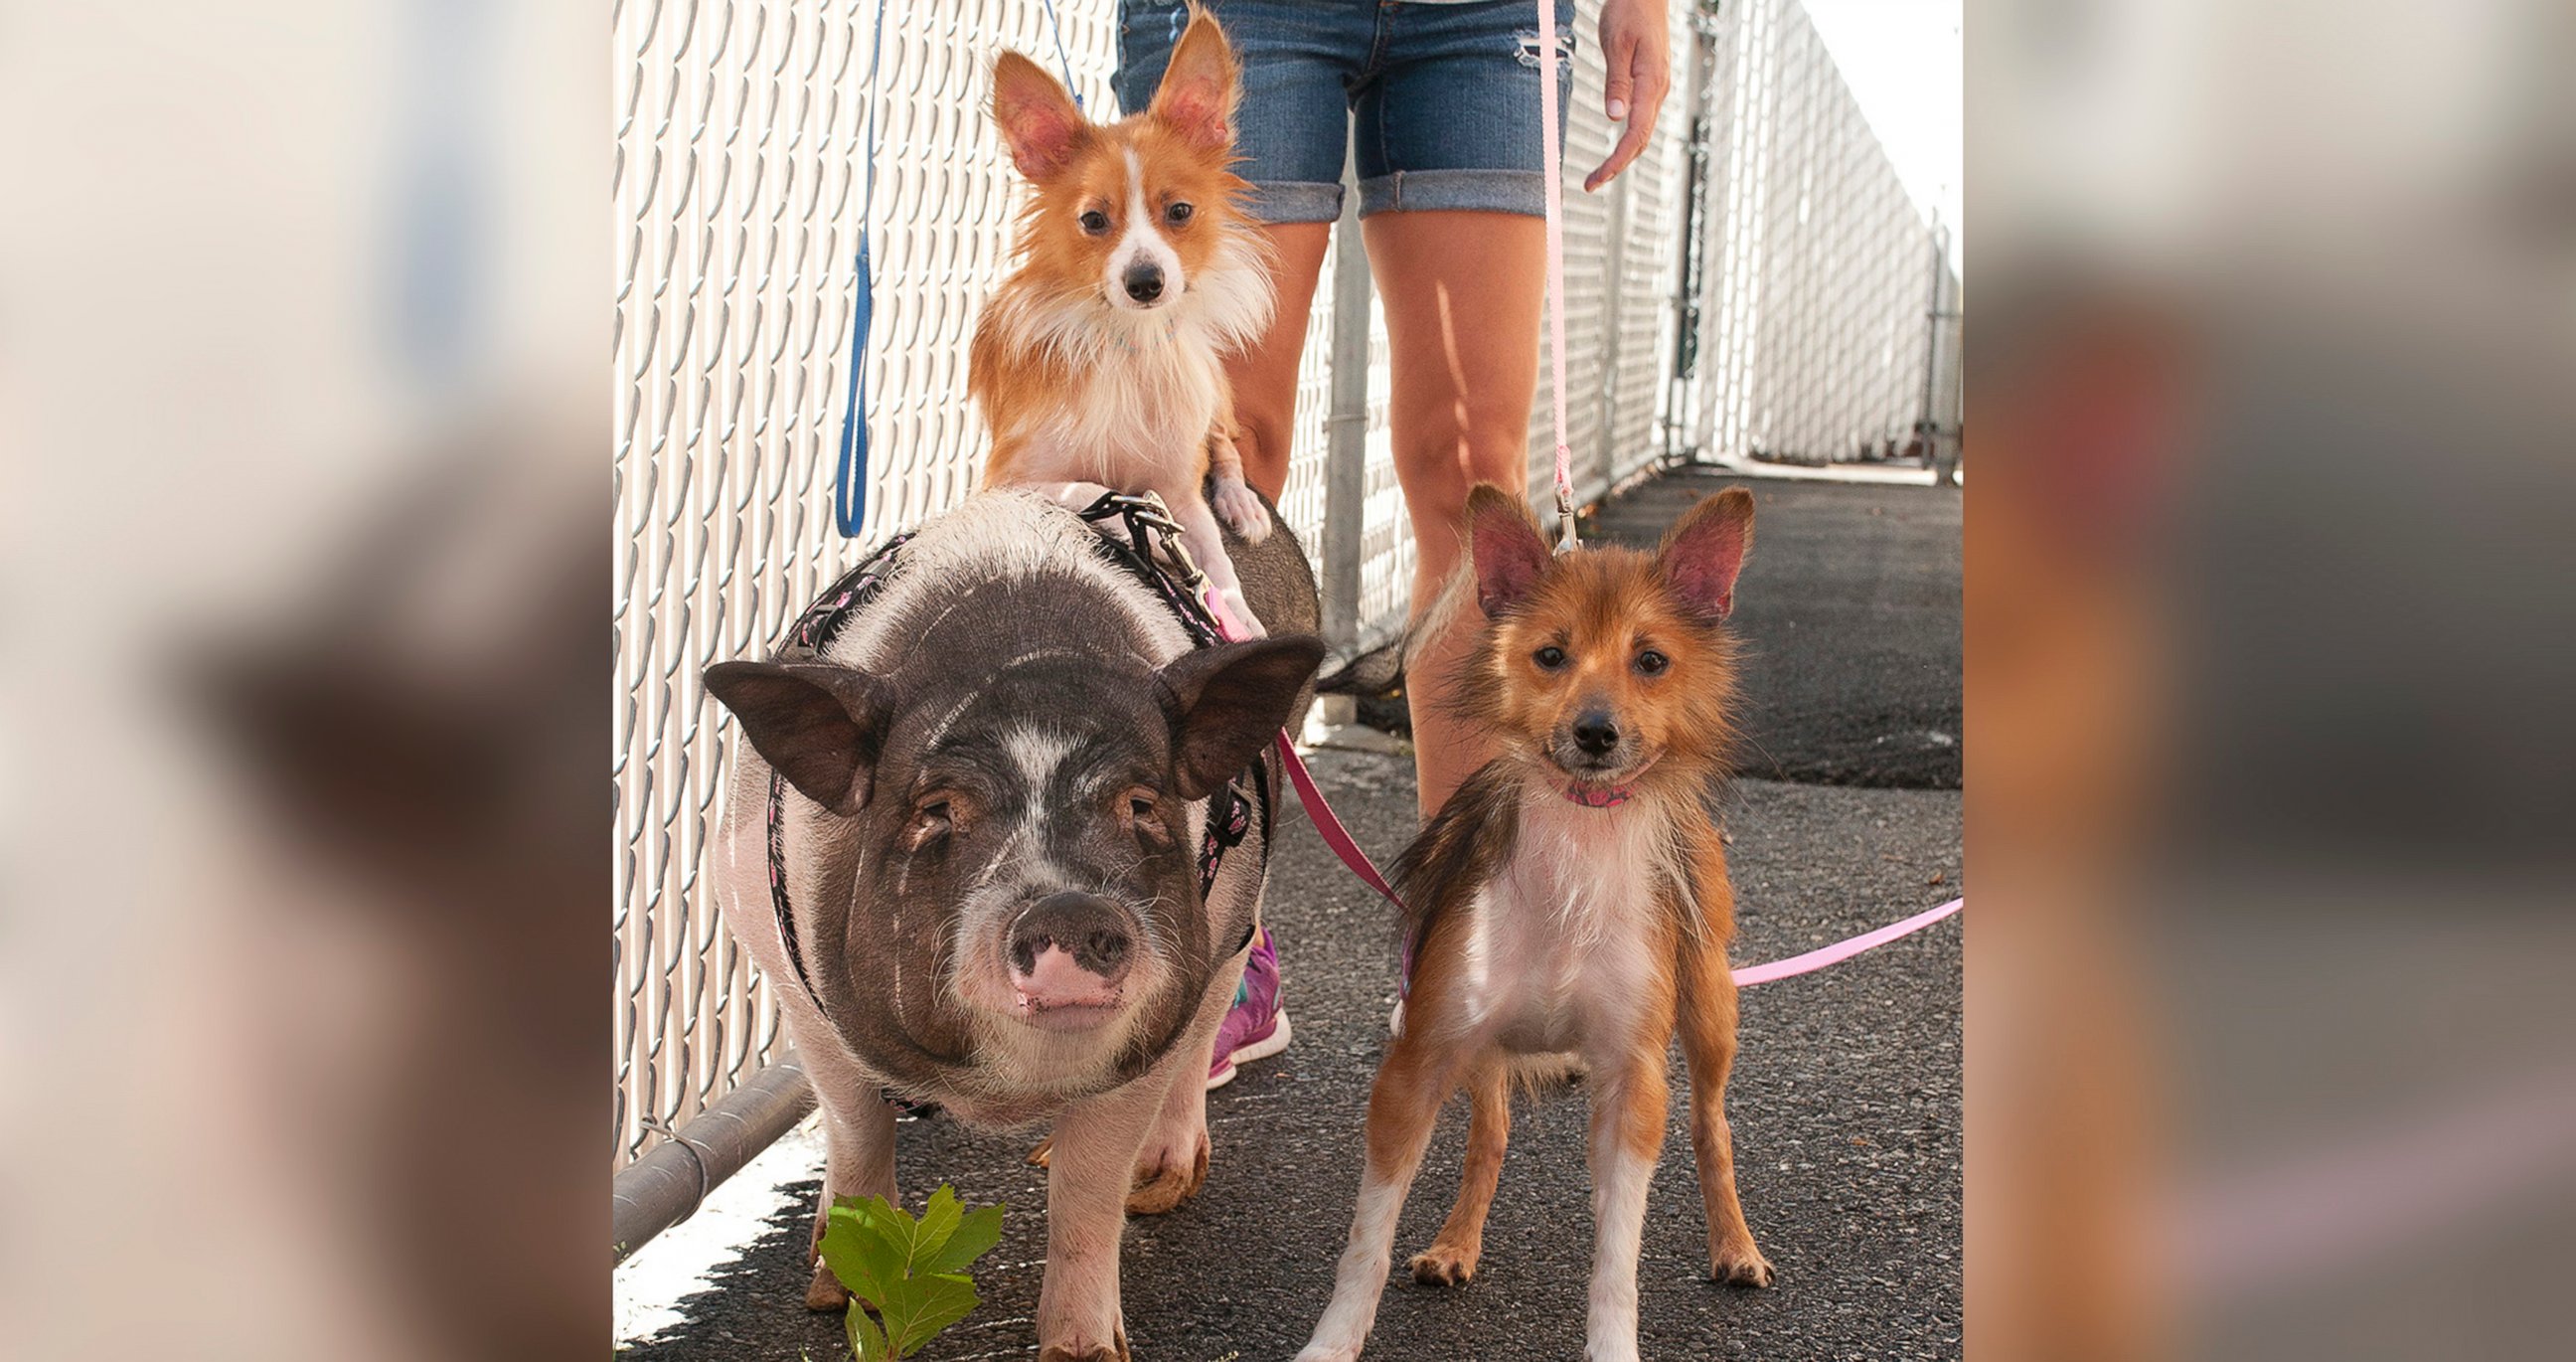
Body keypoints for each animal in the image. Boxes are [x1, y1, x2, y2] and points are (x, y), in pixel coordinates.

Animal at [968, 10, 1277, 638]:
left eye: (1180, 212)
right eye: (1092, 220)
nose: (1145, 282)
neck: (1128, 342)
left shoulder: (1182, 494)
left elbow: (1216, 564)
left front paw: (1238, 617)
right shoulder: (1004, 481)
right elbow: (1094, 489)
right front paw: (1124, 523)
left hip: (1209, 383)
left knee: (1224, 441)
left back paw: (1241, 501)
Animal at [1308, 486, 1772, 1359]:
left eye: (1650, 661)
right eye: (1550, 656)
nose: (1595, 733)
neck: (1577, 855)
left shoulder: (1635, 1084)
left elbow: (1618, 1256)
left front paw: (1614, 1345)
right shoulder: (1418, 1063)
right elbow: (1366, 1240)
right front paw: (1332, 1342)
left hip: (1710, 1007)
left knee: (1713, 1128)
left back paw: (1735, 1246)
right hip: (1482, 1045)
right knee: (1488, 1138)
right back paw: (1456, 1243)